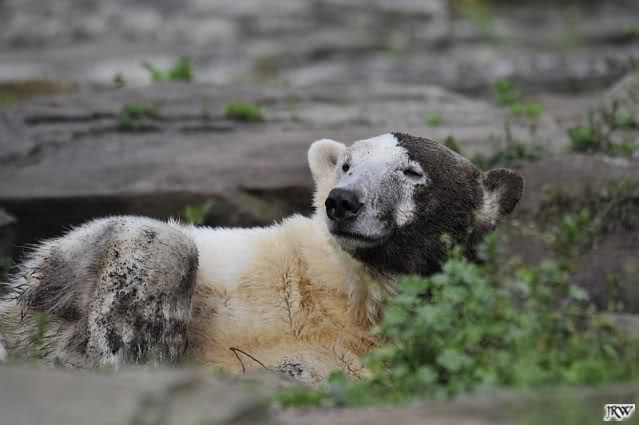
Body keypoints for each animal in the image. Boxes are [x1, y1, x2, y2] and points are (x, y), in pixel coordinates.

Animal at [0, 133, 523, 383]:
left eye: (413, 171)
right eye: (347, 164)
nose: (342, 201)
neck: (345, 294)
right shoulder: (241, 258)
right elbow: (142, 237)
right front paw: (129, 354)